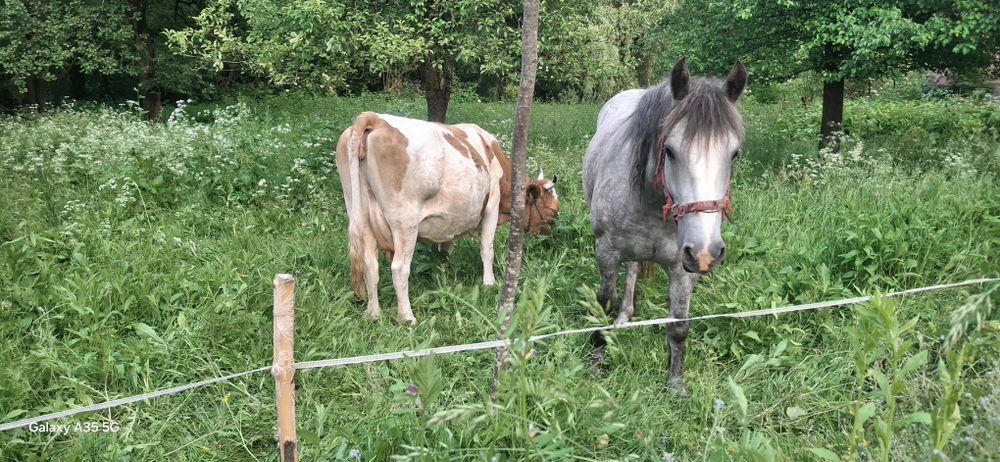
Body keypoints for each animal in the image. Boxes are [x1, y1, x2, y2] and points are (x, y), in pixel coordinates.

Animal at [336, 112, 560, 325]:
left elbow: (446, 246)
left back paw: (374, 314)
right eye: (552, 210)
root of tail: (375, 118)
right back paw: (407, 318)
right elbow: (487, 249)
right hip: (405, 221)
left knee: (370, 266)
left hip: (359, 213)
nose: (550, 233)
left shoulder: (450, 220)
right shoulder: (492, 206)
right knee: (399, 269)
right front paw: (489, 283)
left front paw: (444, 267)